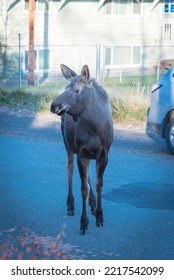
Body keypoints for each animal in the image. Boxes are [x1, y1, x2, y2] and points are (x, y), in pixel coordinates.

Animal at [50, 64, 113, 234]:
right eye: (65, 87)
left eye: (77, 90)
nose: (53, 105)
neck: (95, 128)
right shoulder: (81, 153)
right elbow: (83, 188)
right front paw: (84, 223)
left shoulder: (104, 154)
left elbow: (99, 184)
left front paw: (99, 215)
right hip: (68, 144)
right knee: (69, 169)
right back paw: (70, 204)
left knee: (89, 174)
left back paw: (93, 203)